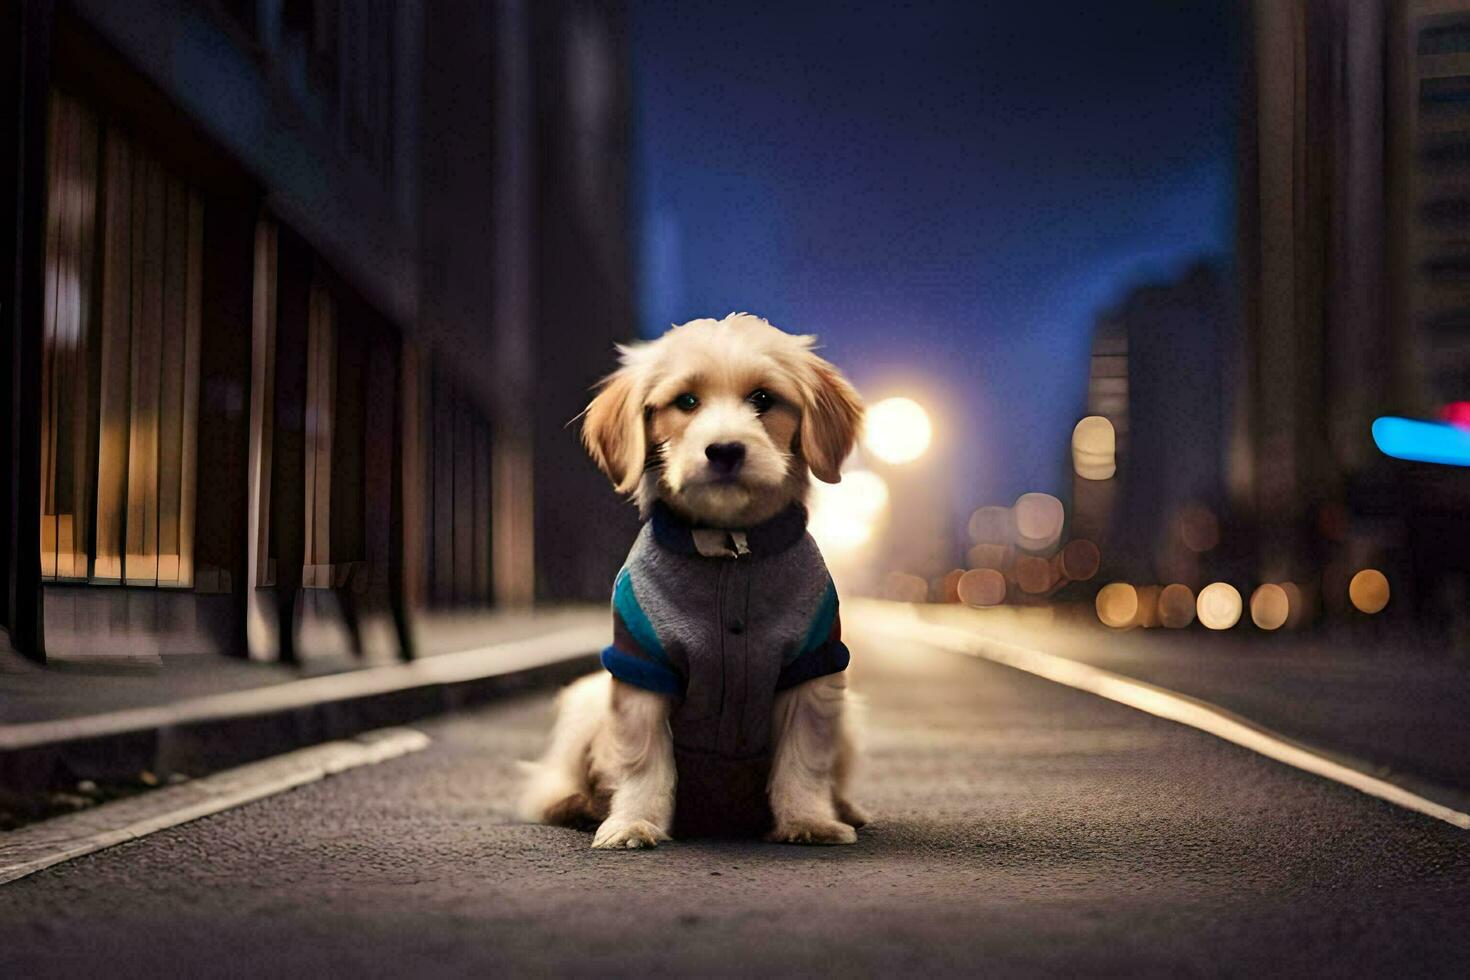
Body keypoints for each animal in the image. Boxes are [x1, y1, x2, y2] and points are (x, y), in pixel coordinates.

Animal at [517, 315, 864, 852]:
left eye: (763, 398)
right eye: (686, 401)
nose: (724, 450)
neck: (730, 551)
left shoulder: (814, 670)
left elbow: (804, 759)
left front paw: (810, 820)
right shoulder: (640, 669)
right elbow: (643, 762)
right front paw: (633, 822)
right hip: (586, 701)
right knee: (555, 780)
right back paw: (576, 804)